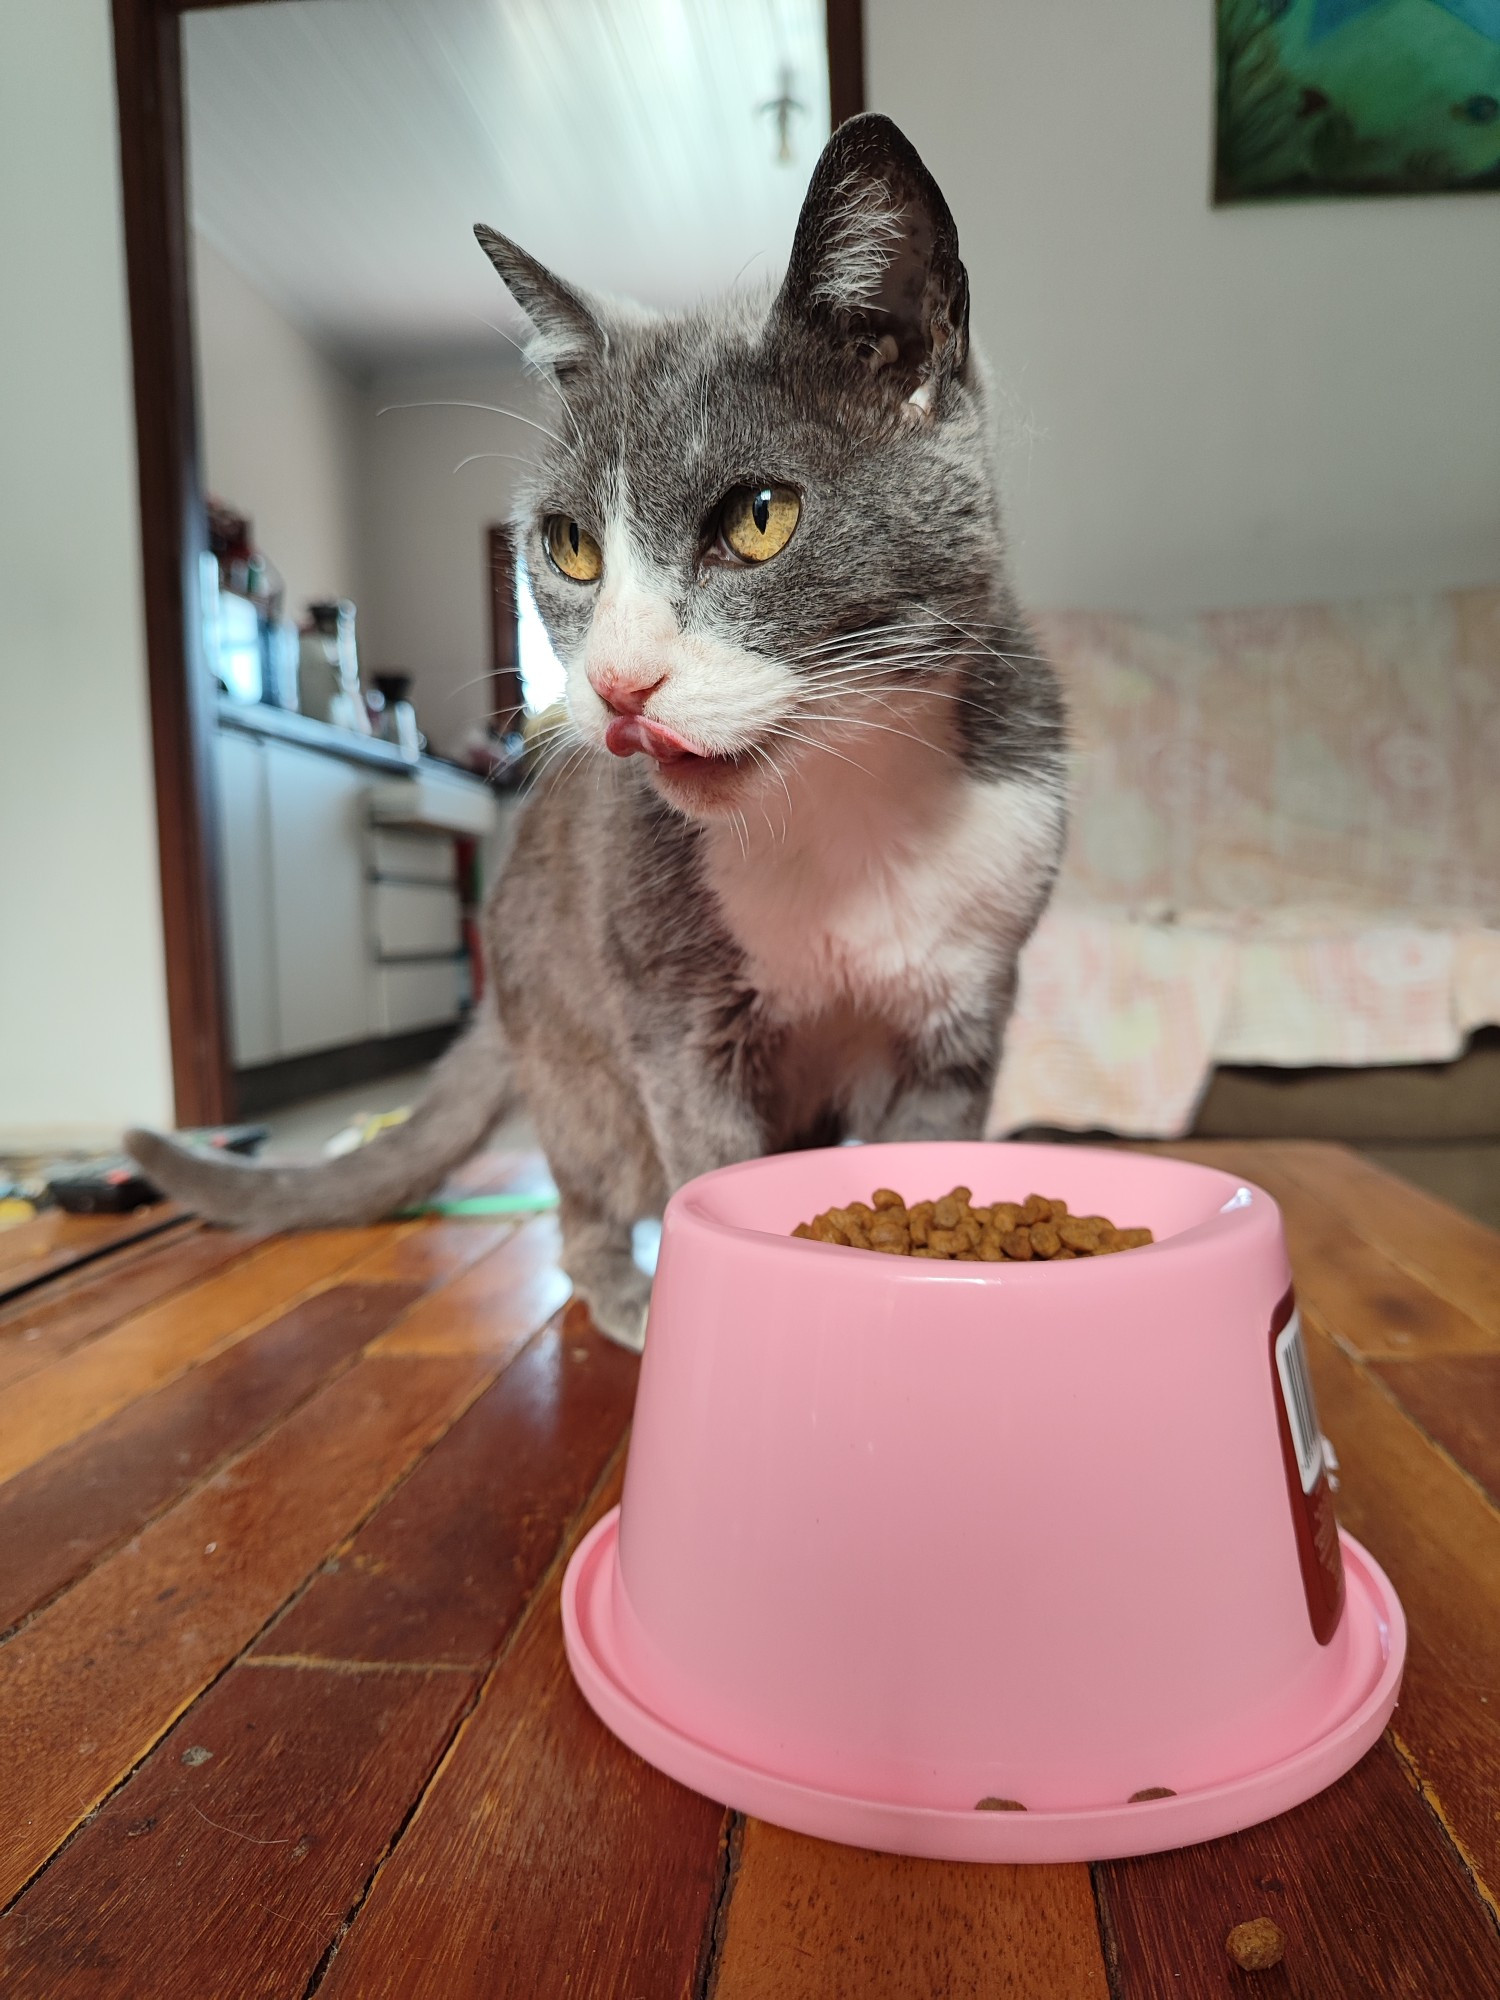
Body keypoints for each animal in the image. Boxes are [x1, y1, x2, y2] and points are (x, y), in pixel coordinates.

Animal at [129, 117, 1072, 1352]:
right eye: (569, 545)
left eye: (758, 518)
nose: (620, 684)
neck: (845, 808)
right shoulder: (675, 1024)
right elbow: (711, 1170)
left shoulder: (963, 1010)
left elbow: (926, 1163)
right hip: (582, 1064)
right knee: (587, 1200)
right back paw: (625, 1296)